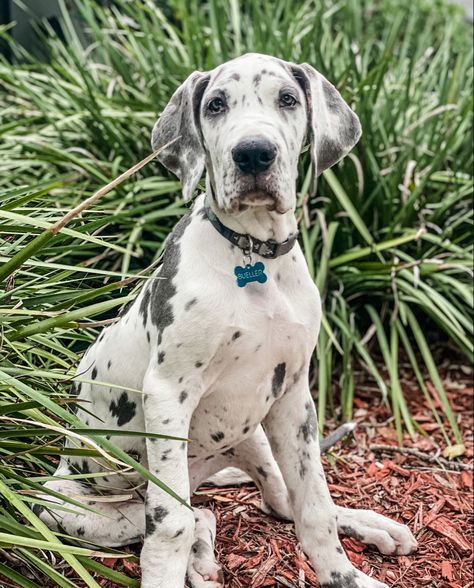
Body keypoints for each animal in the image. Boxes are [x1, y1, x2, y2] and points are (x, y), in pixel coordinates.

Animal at [36, 52, 414, 584]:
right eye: (215, 104)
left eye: (288, 99)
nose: (253, 153)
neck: (253, 254)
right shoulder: (168, 393)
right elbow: (169, 523)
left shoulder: (294, 395)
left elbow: (314, 504)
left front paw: (343, 575)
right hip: (64, 504)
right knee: (187, 514)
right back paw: (199, 557)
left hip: (254, 435)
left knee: (277, 502)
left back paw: (372, 526)